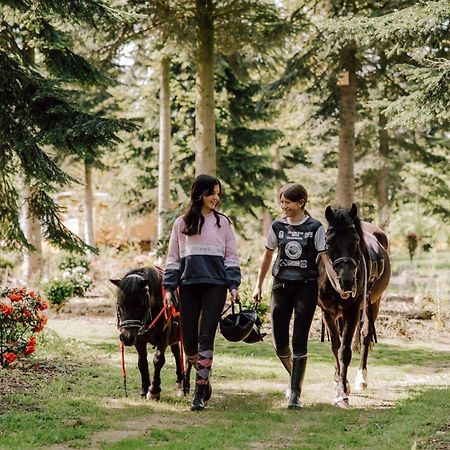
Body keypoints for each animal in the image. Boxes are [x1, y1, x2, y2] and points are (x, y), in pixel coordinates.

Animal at [110, 266, 192, 400]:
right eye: (119, 303)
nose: (126, 337)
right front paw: (144, 389)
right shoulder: (138, 339)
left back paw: (185, 387)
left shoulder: (163, 338)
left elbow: (158, 360)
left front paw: (154, 391)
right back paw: (180, 381)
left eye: (141, 303)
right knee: (176, 352)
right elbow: (142, 362)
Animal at [316, 204, 390, 408]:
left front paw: (342, 393)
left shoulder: (352, 311)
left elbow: (345, 351)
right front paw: (340, 383)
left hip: (374, 303)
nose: (347, 280)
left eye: (356, 240)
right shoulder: (327, 312)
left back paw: (361, 379)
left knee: (365, 336)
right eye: (329, 241)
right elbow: (336, 346)